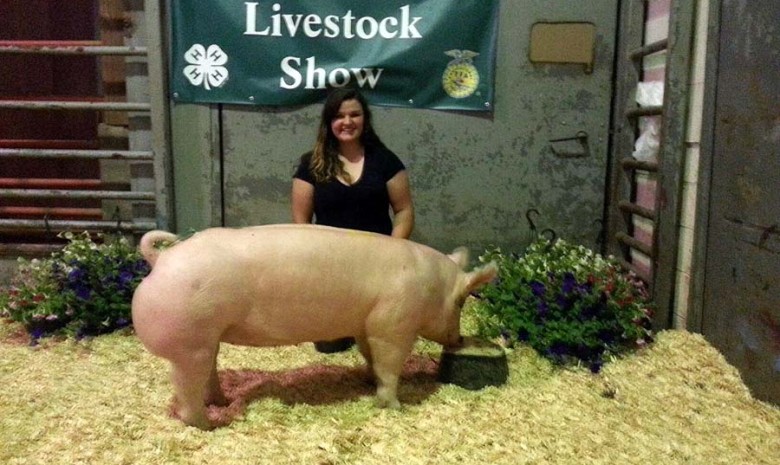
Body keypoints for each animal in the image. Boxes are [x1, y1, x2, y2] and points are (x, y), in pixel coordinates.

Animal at [131, 223, 496, 430]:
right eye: (461, 302)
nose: (458, 338)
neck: (430, 286)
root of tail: (161, 260)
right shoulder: (393, 324)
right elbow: (390, 364)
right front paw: (394, 406)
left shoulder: (366, 323)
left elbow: (370, 356)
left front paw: (367, 381)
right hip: (189, 342)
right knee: (185, 385)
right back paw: (209, 425)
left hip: (207, 338)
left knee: (208, 370)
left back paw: (220, 402)